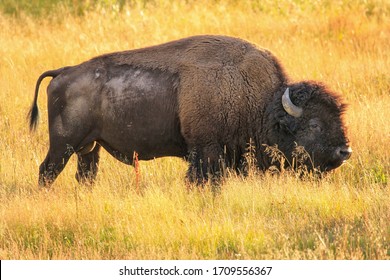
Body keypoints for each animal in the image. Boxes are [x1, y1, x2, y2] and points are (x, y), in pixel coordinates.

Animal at [29, 35, 352, 186]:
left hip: (89, 147)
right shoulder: (205, 151)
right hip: (63, 145)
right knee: (47, 171)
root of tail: (64, 72)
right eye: (314, 125)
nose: (344, 151)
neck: (262, 103)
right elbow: (201, 179)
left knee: (85, 175)